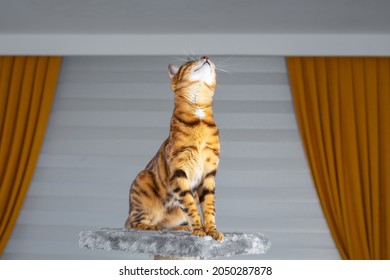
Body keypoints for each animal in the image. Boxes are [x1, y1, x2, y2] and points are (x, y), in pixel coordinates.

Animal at [123, 55, 224, 241]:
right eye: (189, 62)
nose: (205, 56)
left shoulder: (209, 173)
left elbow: (209, 207)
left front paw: (212, 231)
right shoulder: (179, 171)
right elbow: (191, 207)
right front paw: (199, 230)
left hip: (176, 212)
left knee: (166, 224)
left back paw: (182, 228)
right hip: (143, 182)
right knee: (133, 222)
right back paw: (150, 227)